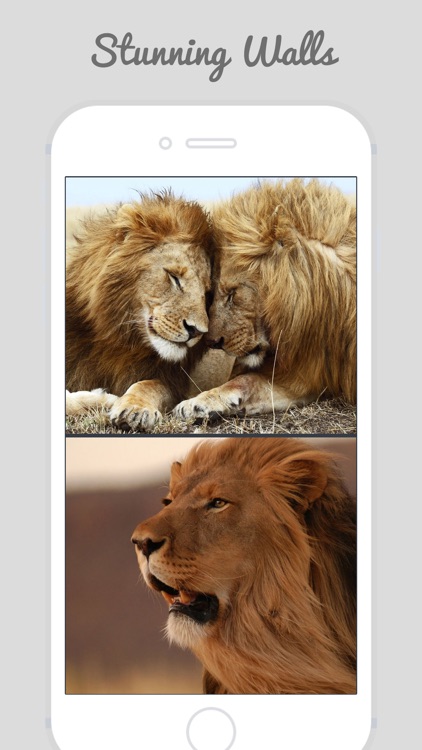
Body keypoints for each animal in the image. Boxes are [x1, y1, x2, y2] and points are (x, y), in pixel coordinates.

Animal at [66, 191, 214, 430]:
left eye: (207, 293)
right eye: (174, 277)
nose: (197, 331)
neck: (121, 339)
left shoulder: (172, 380)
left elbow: (148, 385)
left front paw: (135, 409)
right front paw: (102, 399)